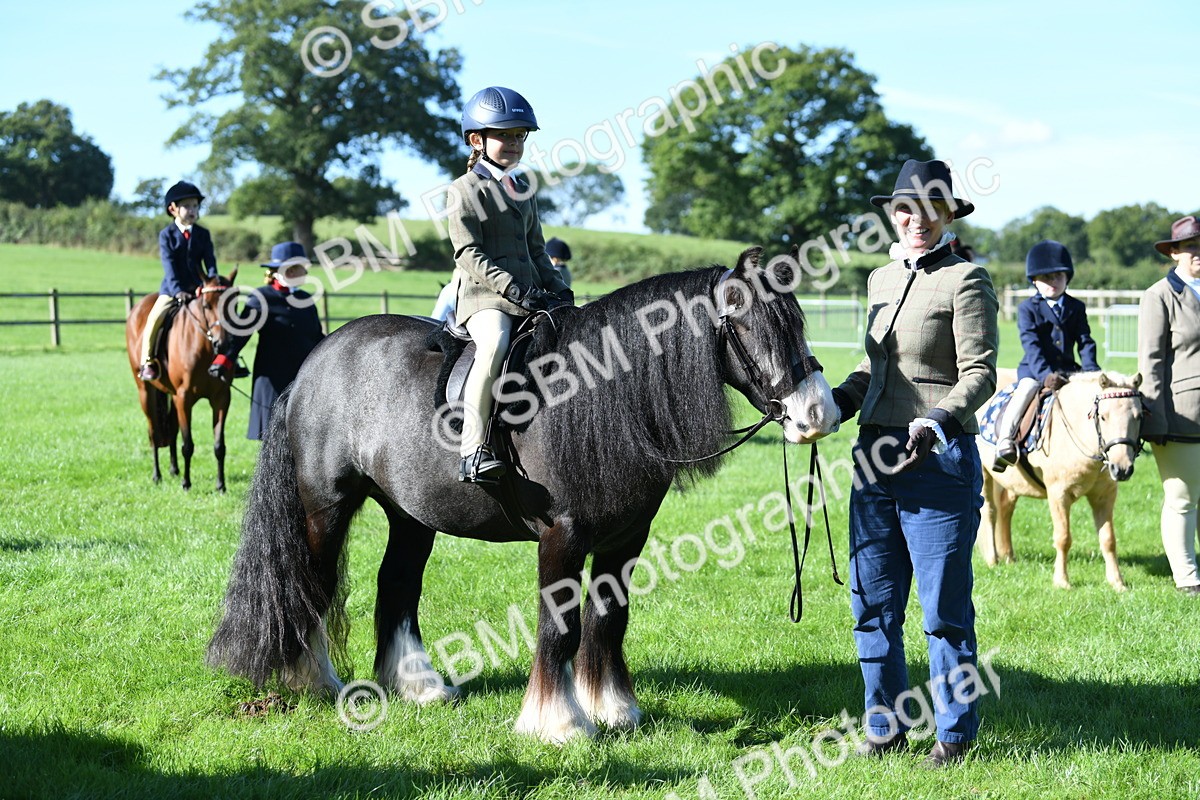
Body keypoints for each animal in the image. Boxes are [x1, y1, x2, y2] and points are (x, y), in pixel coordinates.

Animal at [124, 270, 237, 491]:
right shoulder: (184, 399)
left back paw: (174, 469)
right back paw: (157, 475)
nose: (223, 344)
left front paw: (220, 485)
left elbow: (219, 445)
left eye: (233, 304)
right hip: (146, 392)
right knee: (154, 432)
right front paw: (186, 483)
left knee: (171, 429)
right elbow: (188, 444)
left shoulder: (221, 398)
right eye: (206, 305)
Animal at [206, 247, 841, 743]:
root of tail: (315, 362)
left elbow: (608, 618)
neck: (597, 395)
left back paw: (417, 685)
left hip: (411, 516)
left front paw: (614, 709)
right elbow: (559, 625)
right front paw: (558, 723)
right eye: (750, 325)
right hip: (326, 506)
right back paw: (313, 680)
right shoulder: (562, 536)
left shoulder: (625, 540)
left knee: (398, 585)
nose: (819, 413)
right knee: (311, 582)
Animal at [976, 368, 1144, 592]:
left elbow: (1108, 539)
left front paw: (1117, 582)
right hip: (984, 473)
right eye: (1103, 416)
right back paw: (993, 559)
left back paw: (1009, 557)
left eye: (1138, 416)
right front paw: (1062, 581)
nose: (1122, 468)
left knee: (1006, 508)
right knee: (990, 511)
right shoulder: (1058, 495)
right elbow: (1063, 538)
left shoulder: (1104, 496)